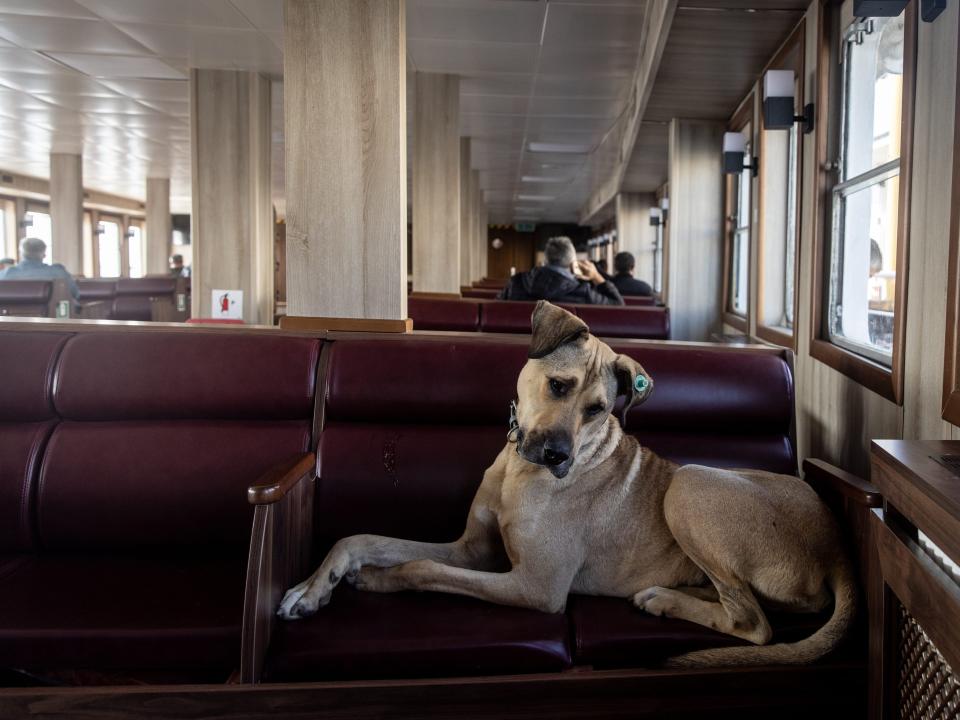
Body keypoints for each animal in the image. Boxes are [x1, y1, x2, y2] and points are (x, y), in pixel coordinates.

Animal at [280, 300, 856, 668]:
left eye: (598, 409)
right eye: (558, 386)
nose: (557, 456)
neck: (521, 470)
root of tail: (837, 548)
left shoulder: (535, 586)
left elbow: (420, 567)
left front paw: (379, 580)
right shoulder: (472, 550)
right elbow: (362, 538)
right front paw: (313, 587)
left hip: (691, 484)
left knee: (753, 623)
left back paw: (665, 601)